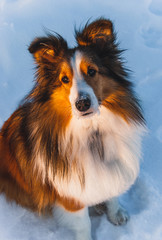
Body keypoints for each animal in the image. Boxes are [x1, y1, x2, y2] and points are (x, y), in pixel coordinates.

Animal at [0, 18, 144, 238]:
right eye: (64, 79)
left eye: (92, 71)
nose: (82, 103)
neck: (93, 132)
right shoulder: (70, 196)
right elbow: (83, 224)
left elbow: (112, 191)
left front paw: (115, 213)